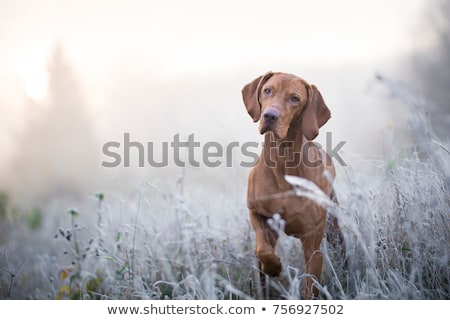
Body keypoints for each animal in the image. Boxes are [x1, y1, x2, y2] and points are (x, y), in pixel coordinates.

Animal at [243, 71, 344, 298]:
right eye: (267, 90)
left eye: (294, 99)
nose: (269, 116)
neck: (283, 161)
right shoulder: (256, 212)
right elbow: (262, 249)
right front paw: (274, 266)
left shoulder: (313, 246)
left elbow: (311, 289)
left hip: (334, 227)